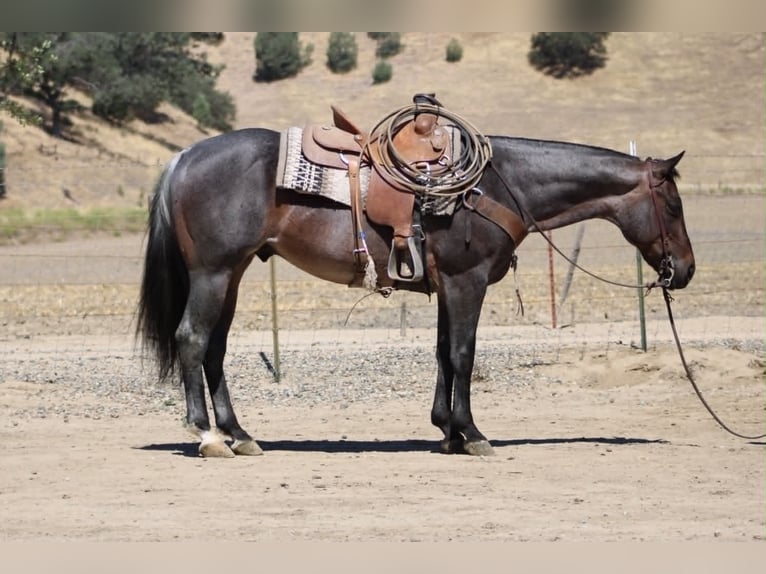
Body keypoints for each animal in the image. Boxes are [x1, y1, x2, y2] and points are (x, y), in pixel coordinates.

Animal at [136, 127, 695, 458]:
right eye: (672, 206)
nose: (685, 271)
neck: (495, 185)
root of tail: (184, 157)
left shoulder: (449, 285)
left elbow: (444, 353)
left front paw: (446, 431)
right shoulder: (468, 281)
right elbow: (464, 354)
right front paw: (473, 434)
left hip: (231, 274)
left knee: (215, 348)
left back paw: (241, 434)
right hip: (213, 272)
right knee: (192, 339)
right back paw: (209, 435)